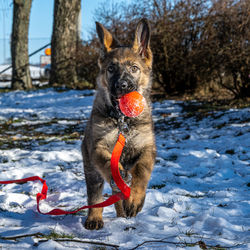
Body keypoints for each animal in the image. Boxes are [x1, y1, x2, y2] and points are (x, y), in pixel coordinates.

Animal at [82, 18, 155, 230]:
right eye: (111, 69)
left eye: (134, 68)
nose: (122, 86)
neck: (123, 120)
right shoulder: (98, 147)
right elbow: (109, 165)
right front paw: (120, 177)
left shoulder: (147, 148)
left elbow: (141, 171)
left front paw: (135, 199)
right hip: (91, 169)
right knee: (96, 194)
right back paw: (94, 218)